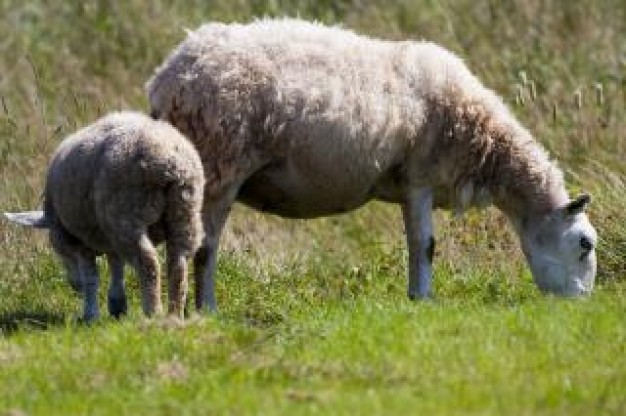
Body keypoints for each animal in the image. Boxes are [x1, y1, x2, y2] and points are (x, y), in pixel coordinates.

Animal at [5, 111, 205, 322]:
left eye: (58, 249)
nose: (74, 286)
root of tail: (167, 159)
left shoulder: (81, 239)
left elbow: (92, 278)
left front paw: (90, 314)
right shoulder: (109, 238)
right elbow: (116, 268)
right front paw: (118, 306)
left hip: (125, 214)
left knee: (148, 262)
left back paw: (153, 311)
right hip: (185, 210)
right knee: (179, 263)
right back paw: (174, 313)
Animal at [145, 17, 596, 312]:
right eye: (585, 244)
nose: (583, 304)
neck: (483, 142)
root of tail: (169, 76)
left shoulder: (408, 187)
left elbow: (415, 244)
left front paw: (415, 297)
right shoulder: (420, 177)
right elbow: (426, 245)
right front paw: (426, 299)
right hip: (220, 164)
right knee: (204, 246)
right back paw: (206, 308)